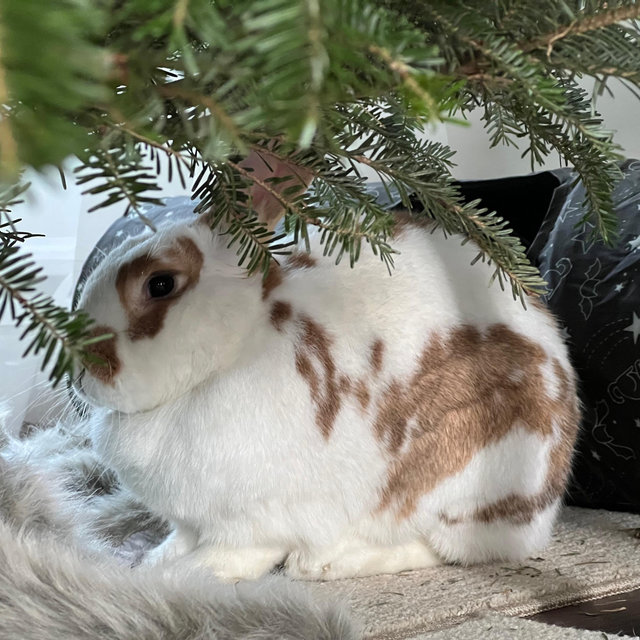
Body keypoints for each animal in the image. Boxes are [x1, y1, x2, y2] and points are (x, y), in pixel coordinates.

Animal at [73, 148, 580, 582]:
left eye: (160, 284)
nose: (80, 369)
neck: (236, 347)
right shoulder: (189, 522)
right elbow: (177, 541)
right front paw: (152, 562)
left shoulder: (250, 524)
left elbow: (231, 557)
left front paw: (177, 576)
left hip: (461, 481)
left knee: (445, 549)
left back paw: (325, 562)